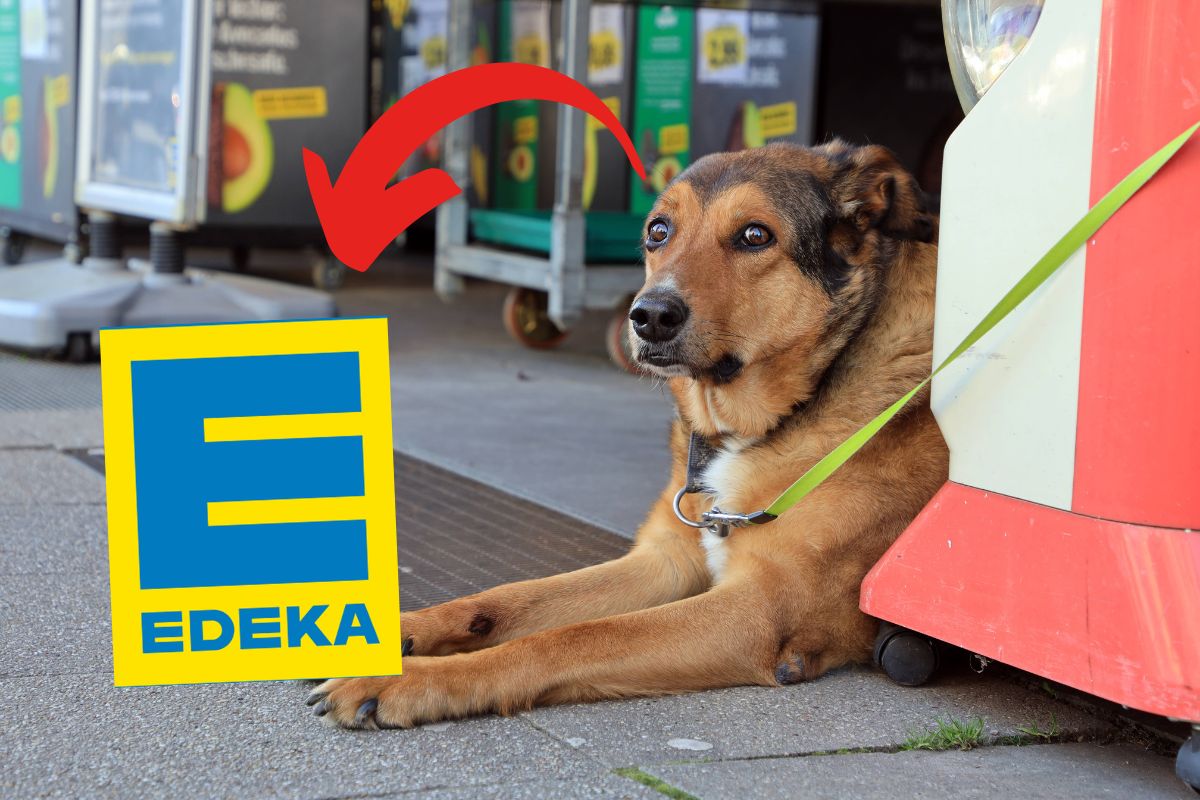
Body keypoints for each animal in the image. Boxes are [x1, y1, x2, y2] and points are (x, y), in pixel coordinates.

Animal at [307, 140, 945, 729]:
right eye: (658, 232)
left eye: (755, 235)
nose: (649, 316)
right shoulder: (666, 560)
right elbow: (508, 598)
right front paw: (398, 632)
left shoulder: (759, 611)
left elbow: (572, 637)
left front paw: (405, 680)